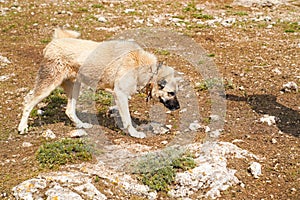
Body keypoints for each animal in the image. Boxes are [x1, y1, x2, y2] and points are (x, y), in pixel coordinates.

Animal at [17, 27, 179, 138]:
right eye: (171, 93)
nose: (178, 107)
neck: (145, 67)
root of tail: (55, 42)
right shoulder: (120, 94)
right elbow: (127, 118)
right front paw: (134, 133)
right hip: (49, 85)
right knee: (28, 102)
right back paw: (22, 127)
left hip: (75, 87)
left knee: (69, 110)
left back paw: (81, 125)